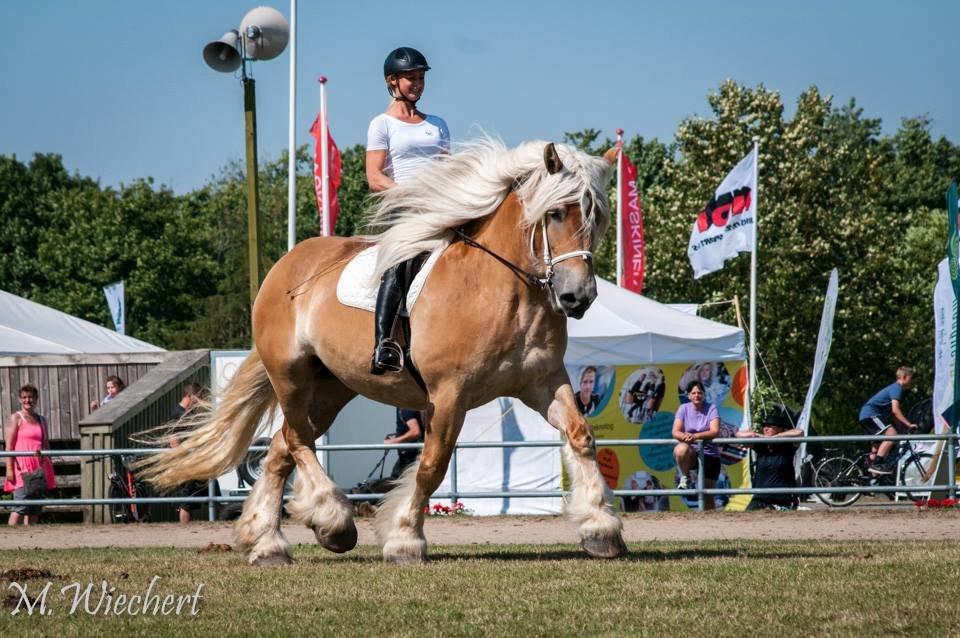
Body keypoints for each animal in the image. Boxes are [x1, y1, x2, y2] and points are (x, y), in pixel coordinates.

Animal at [139, 136, 628, 564]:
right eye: (558, 213)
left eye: (599, 217)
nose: (578, 297)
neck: (504, 291)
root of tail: (284, 267)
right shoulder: (449, 395)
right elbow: (433, 464)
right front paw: (405, 539)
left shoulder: (542, 381)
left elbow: (581, 435)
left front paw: (601, 529)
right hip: (291, 377)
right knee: (297, 441)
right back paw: (332, 522)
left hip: (331, 388)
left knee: (281, 449)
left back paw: (267, 542)